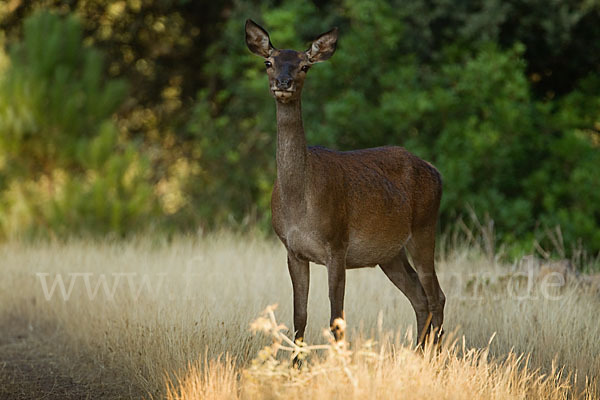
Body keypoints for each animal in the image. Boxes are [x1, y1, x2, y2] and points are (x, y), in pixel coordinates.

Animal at [244, 19, 446, 350]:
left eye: (304, 66)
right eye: (268, 62)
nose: (284, 83)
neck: (299, 201)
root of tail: (436, 172)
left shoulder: (336, 244)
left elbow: (336, 321)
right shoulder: (292, 250)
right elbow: (299, 318)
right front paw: (296, 364)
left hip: (424, 228)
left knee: (436, 296)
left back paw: (433, 357)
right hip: (389, 253)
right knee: (419, 297)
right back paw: (418, 353)